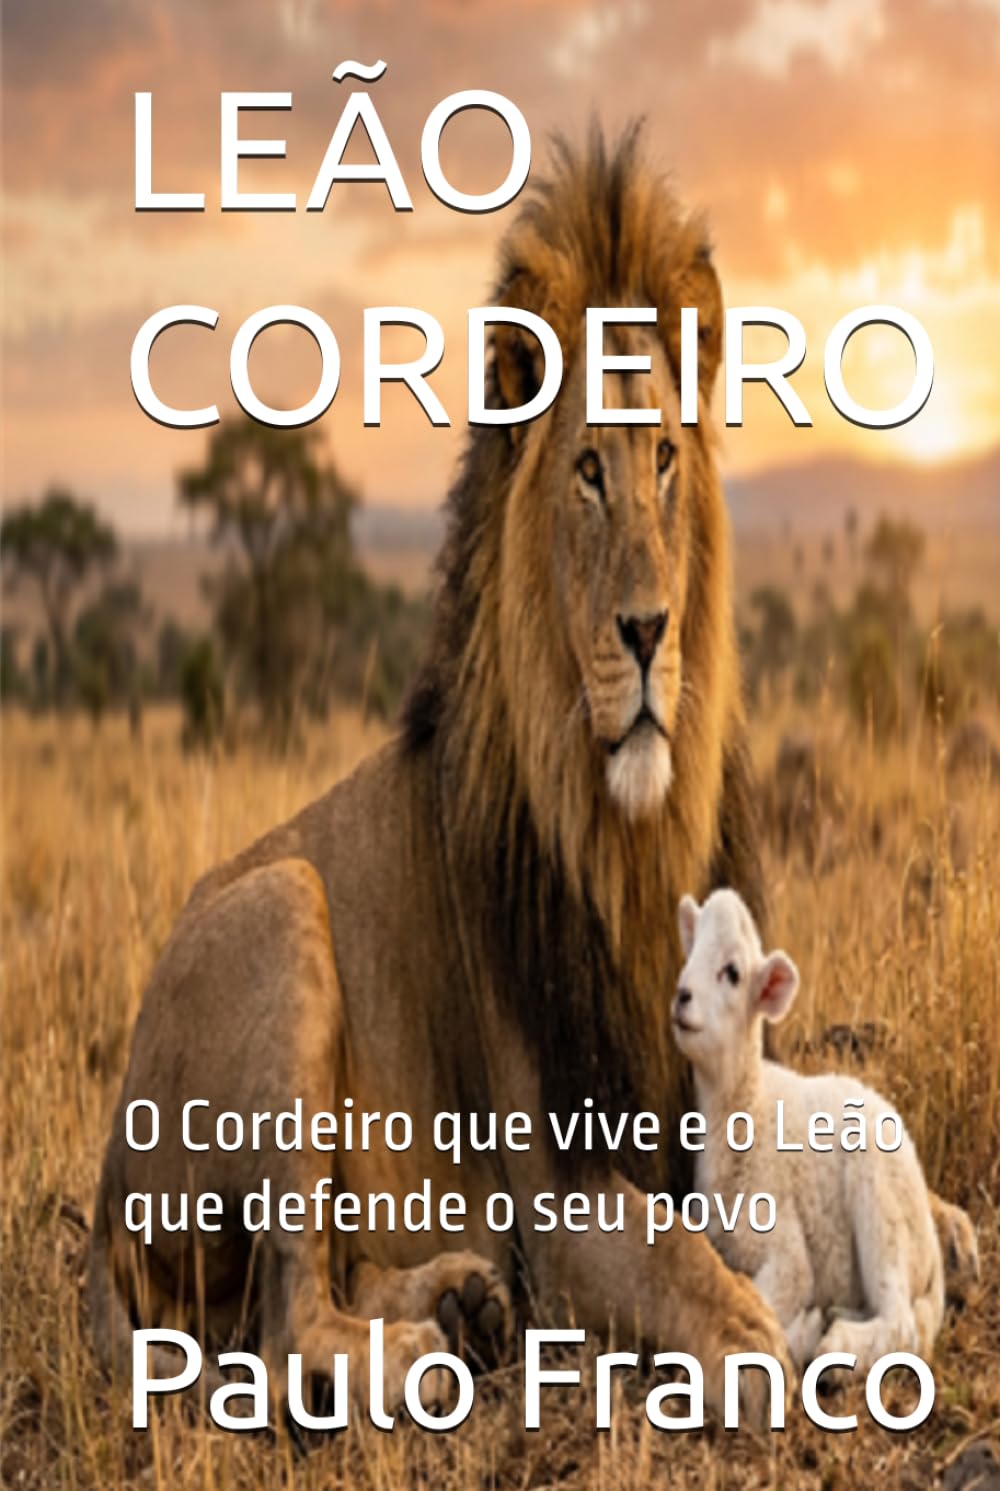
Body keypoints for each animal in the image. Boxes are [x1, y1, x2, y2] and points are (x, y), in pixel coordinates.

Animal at [89, 126, 977, 1425]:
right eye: (587, 472)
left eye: (664, 462)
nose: (649, 630)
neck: (631, 834)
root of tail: (104, 1193)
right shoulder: (553, 1188)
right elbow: (669, 1257)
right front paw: (752, 1332)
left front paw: (946, 1223)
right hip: (278, 907)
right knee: (286, 1313)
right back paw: (423, 1353)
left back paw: (464, 1301)